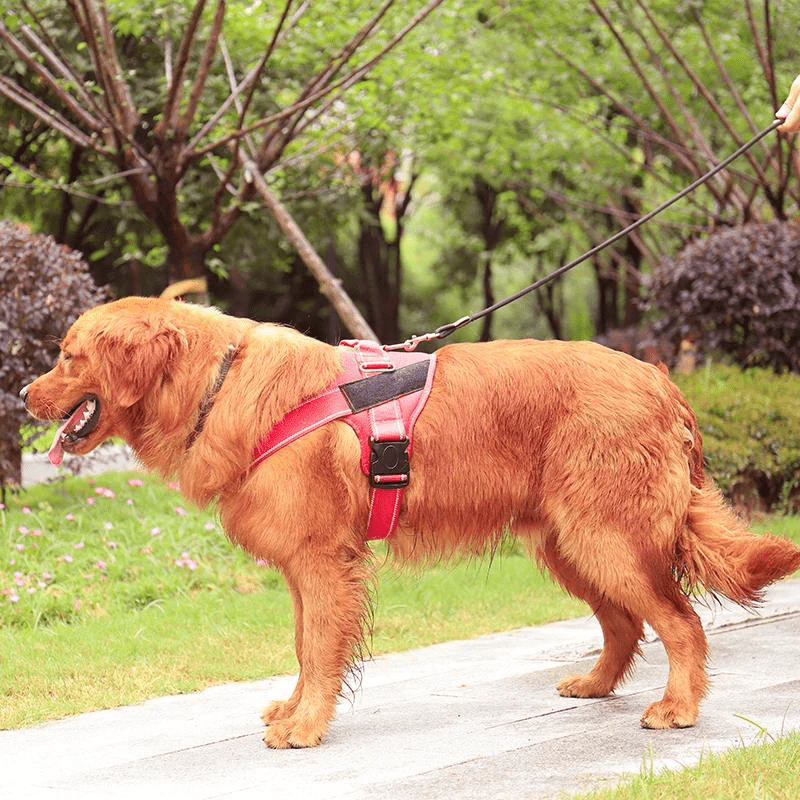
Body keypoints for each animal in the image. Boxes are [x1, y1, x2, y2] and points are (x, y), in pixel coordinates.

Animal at [18, 296, 800, 748]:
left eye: (67, 356)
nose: (23, 394)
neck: (219, 384)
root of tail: (661, 380)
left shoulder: (321, 561)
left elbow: (319, 649)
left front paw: (306, 727)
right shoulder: (306, 568)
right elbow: (305, 646)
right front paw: (295, 711)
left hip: (606, 538)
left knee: (680, 622)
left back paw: (678, 707)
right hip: (570, 544)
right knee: (626, 623)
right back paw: (598, 684)